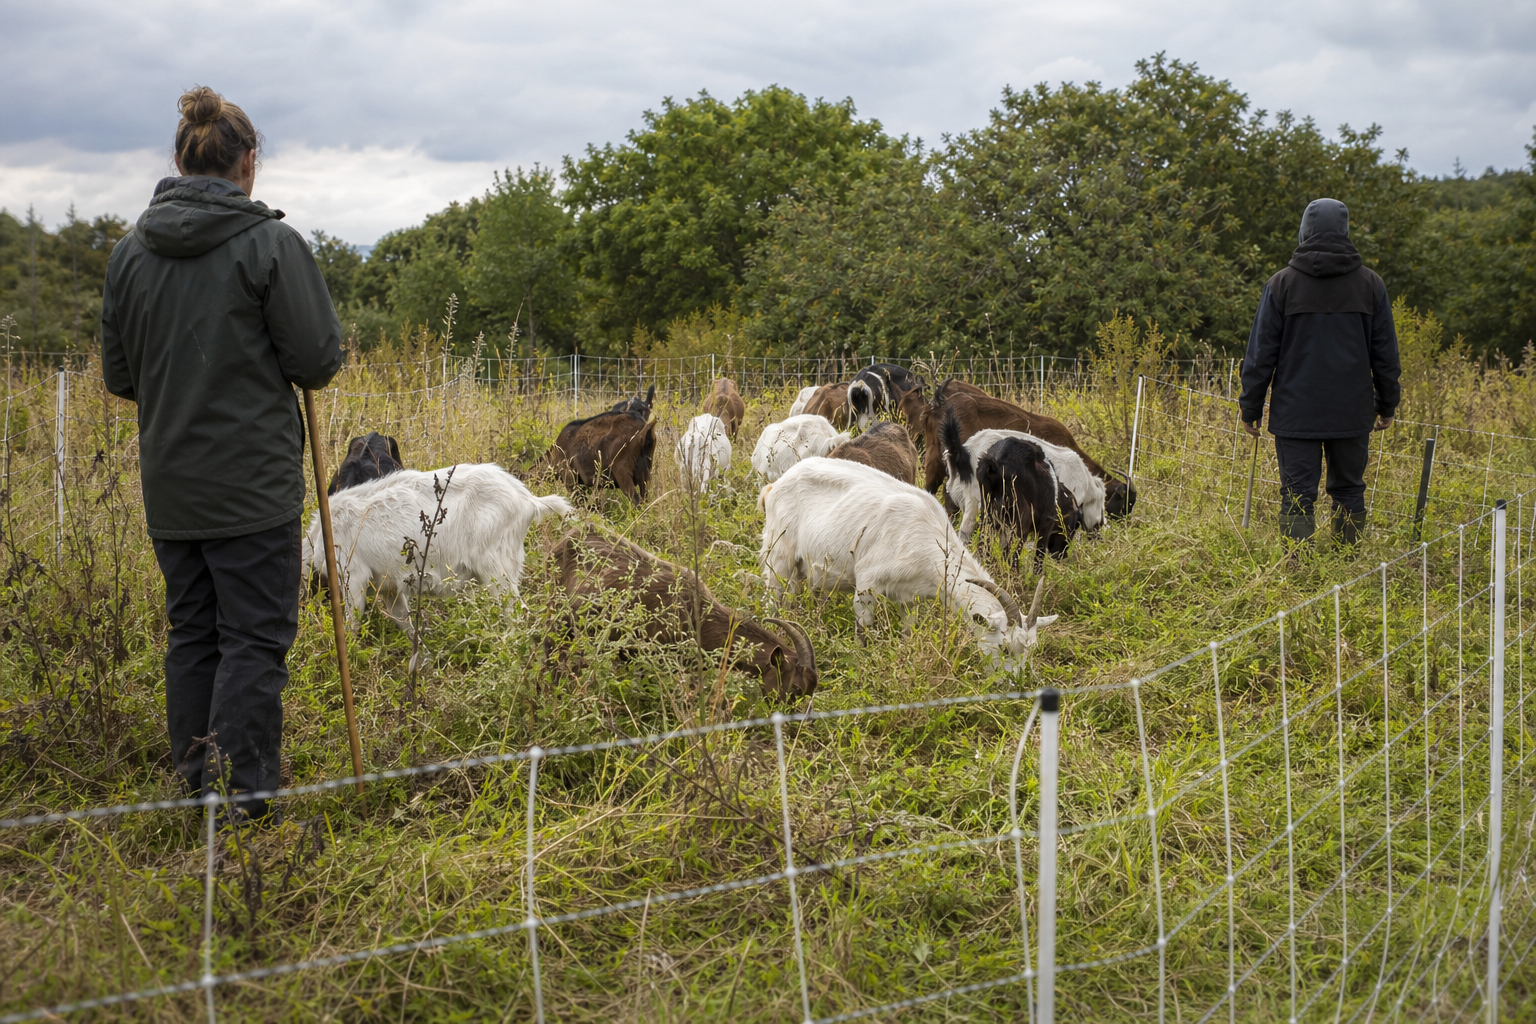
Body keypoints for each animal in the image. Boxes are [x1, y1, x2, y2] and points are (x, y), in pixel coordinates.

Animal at [303, 464, 574, 640]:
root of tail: (528, 500)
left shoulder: (352, 576)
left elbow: (353, 620)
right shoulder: (389, 586)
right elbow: (402, 618)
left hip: (495, 566)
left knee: (516, 611)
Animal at [758, 457, 1056, 667]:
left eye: (1031, 650)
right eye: (1005, 648)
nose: (1013, 684)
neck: (931, 542)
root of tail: (775, 486)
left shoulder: (909, 598)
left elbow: (908, 631)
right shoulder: (866, 583)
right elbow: (863, 630)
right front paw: (860, 660)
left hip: (799, 567)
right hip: (778, 553)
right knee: (773, 594)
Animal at [940, 416, 1107, 537]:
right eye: (1102, 508)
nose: (1100, 529)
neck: (1087, 484)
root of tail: (963, 452)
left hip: (954, 499)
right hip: (976, 501)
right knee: (965, 531)